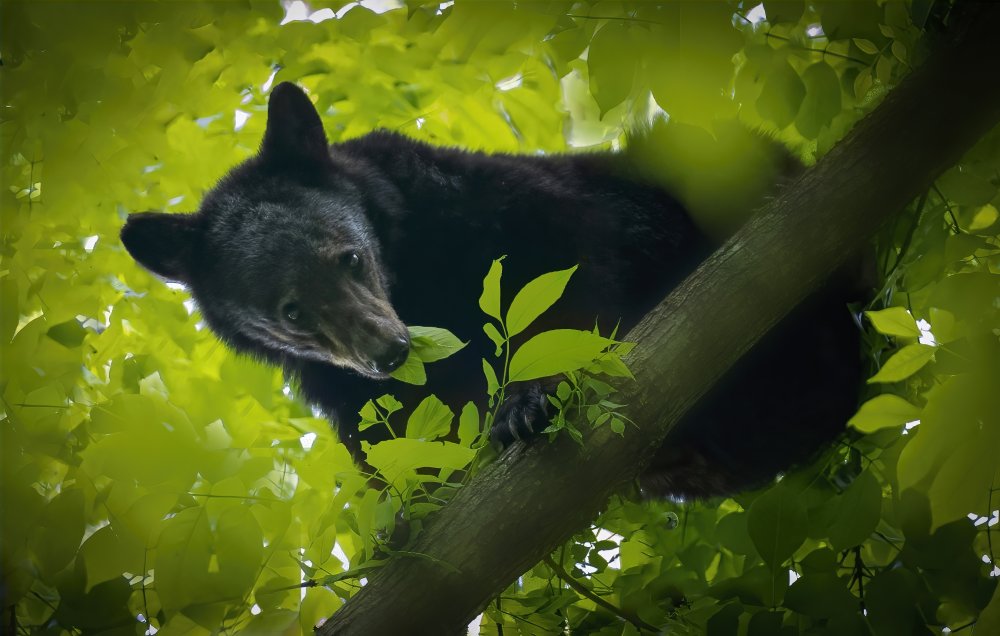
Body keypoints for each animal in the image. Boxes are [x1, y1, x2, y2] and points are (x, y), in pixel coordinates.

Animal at [121, 84, 864, 500]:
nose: (388, 351)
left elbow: (566, 280)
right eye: (291, 312)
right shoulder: (341, 389)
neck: (414, 277)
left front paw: (531, 400)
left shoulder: (490, 206)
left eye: (350, 257)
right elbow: (397, 442)